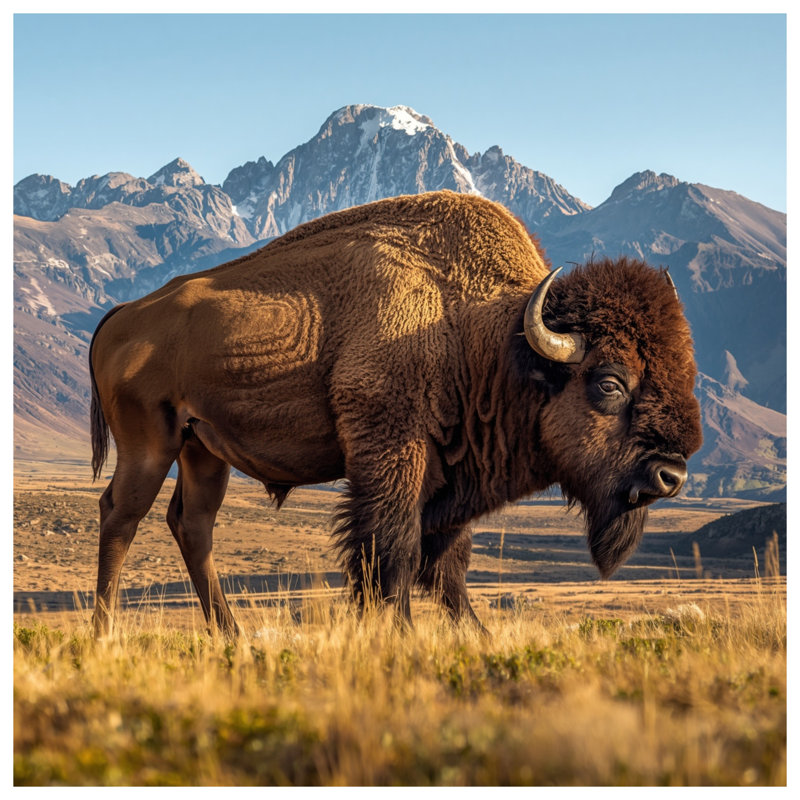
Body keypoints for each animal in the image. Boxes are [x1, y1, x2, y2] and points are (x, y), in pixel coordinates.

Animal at [89, 191, 702, 638]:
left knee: (193, 525)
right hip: (150, 445)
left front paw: (472, 634)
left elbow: (447, 562)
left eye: (685, 374)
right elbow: (394, 549)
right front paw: (400, 632)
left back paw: (230, 634)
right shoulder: (392, 453)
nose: (670, 475)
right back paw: (105, 630)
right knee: (122, 515)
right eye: (609, 383)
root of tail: (122, 314)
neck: (484, 338)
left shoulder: (451, 479)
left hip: (203, 450)